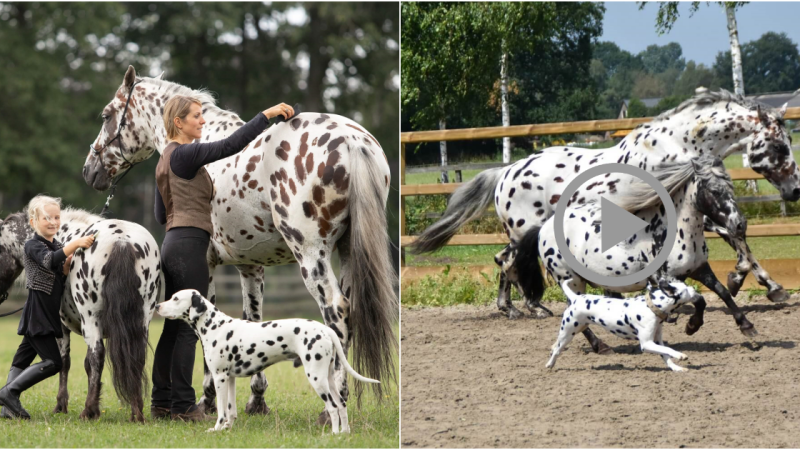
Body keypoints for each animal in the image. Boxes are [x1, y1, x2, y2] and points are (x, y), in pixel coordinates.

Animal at [159, 290, 382, 434]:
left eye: (175, 298)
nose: (158, 305)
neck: (216, 325)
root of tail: (325, 329)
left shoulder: (219, 378)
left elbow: (222, 411)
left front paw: (216, 429)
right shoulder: (229, 379)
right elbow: (231, 410)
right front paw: (227, 429)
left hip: (317, 378)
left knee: (334, 407)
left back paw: (334, 435)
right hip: (328, 378)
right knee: (342, 405)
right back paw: (344, 433)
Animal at [412, 89, 800, 344]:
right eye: (780, 146)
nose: (795, 190)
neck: (678, 145)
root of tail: (506, 171)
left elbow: (734, 237)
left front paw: (761, 285)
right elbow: (732, 235)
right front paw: (753, 283)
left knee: (505, 260)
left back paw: (518, 307)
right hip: (524, 229)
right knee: (510, 261)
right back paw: (525, 308)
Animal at [548, 280, 704, 370]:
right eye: (685, 288)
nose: (693, 288)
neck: (651, 307)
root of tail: (576, 298)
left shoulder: (657, 341)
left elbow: (665, 354)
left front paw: (676, 368)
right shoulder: (647, 344)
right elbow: (669, 350)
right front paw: (680, 355)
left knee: (556, 346)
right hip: (567, 334)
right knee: (557, 350)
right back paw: (550, 364)